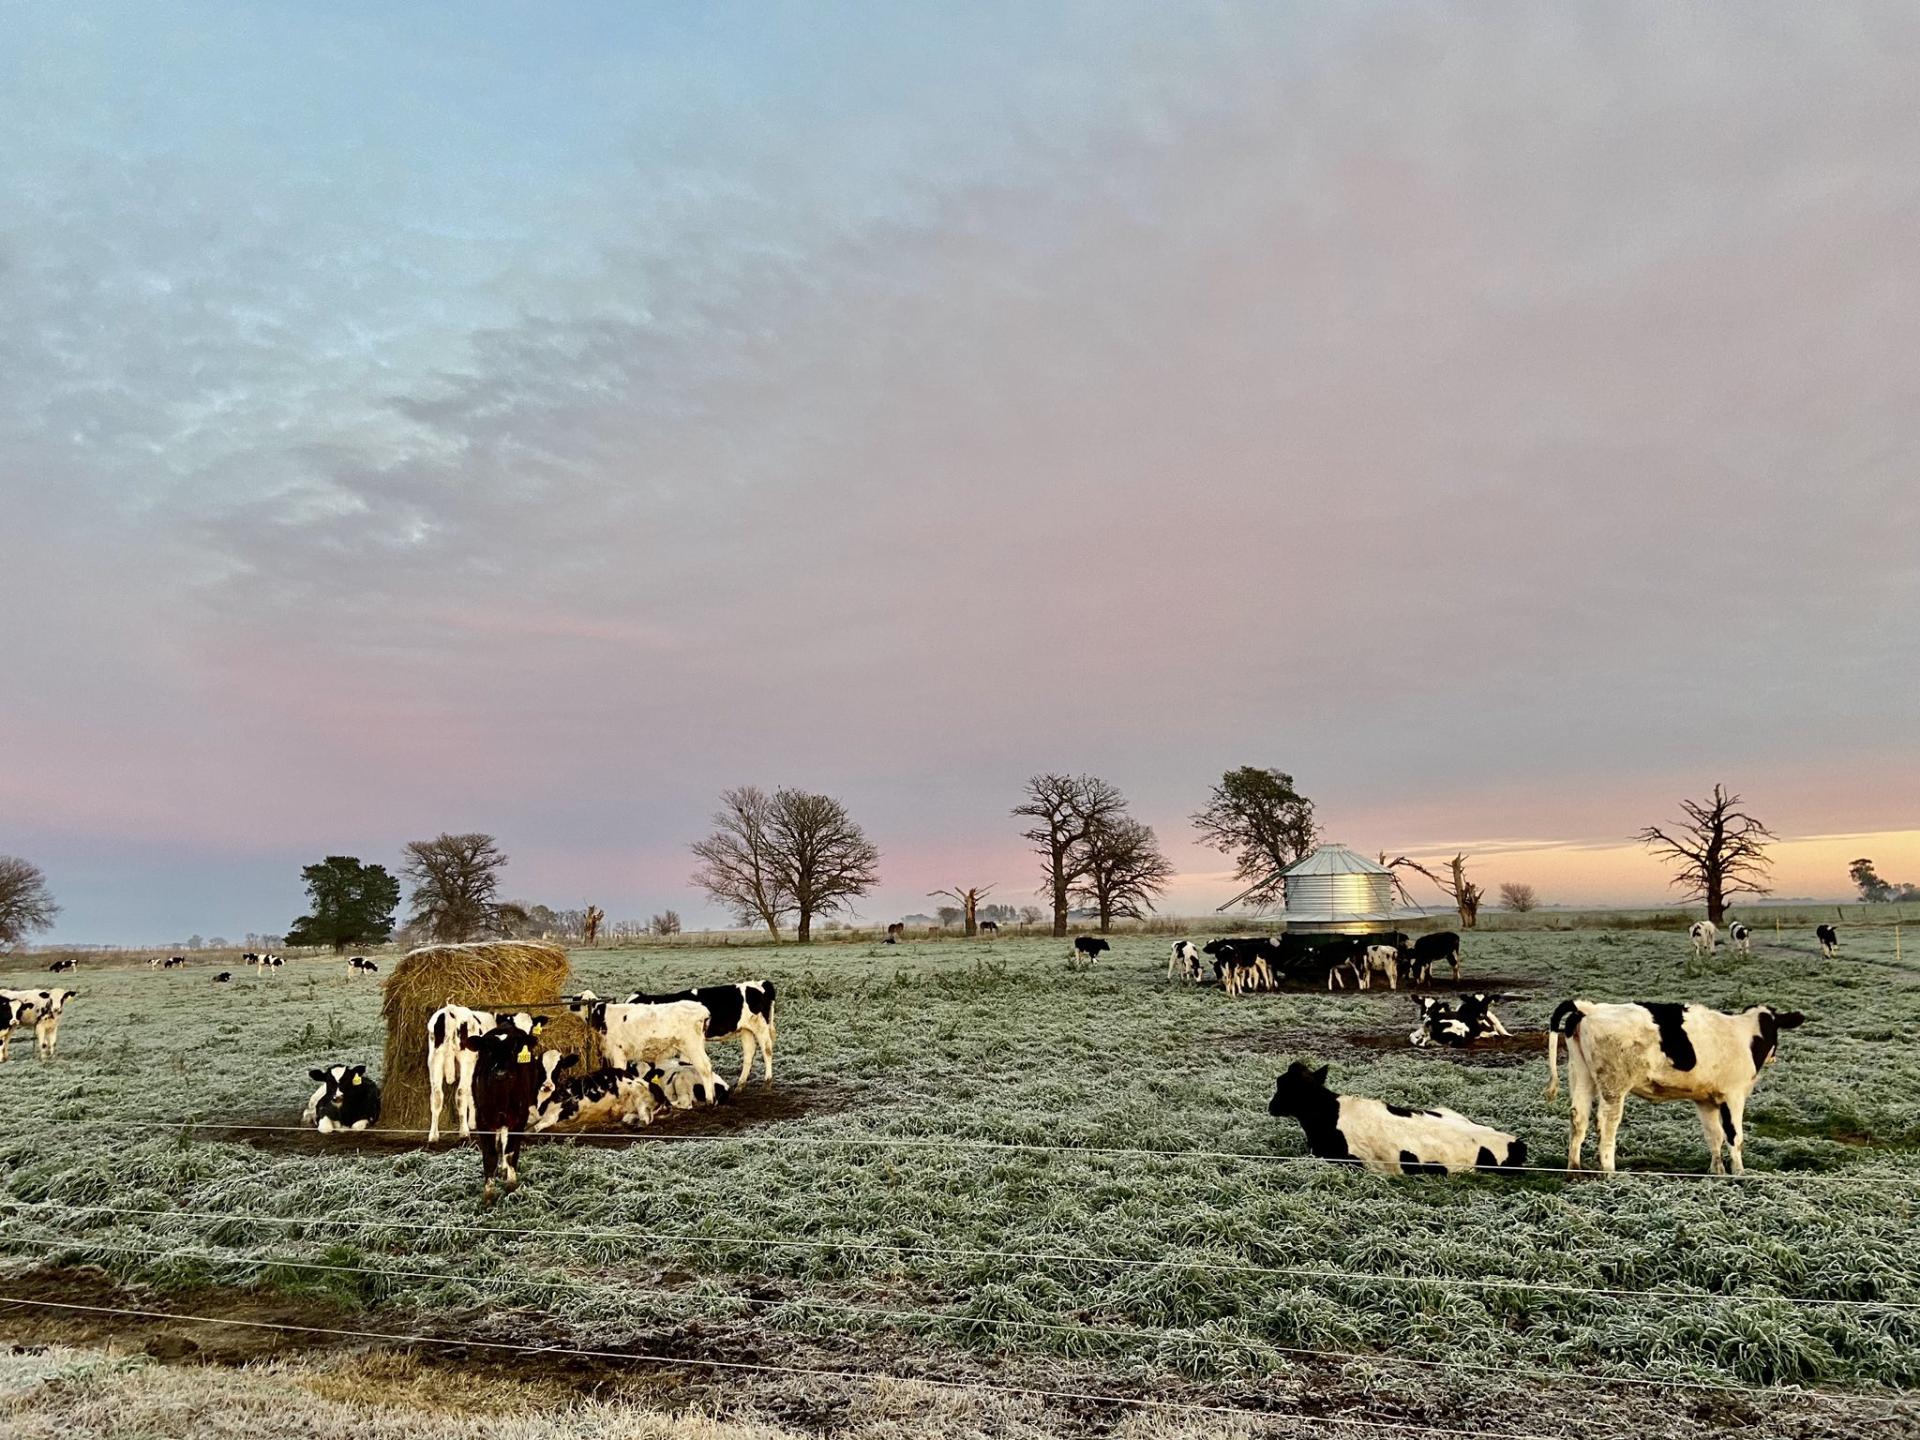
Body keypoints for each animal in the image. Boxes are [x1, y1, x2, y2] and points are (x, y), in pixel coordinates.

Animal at [460, 1029, 552, 1205]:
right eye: (487, 1050)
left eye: (514, 1050)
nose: (501, 1073)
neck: (501, 1095)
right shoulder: (482, 1119)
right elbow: (490, 1156)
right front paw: (488, 1194)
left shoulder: (519, 1118)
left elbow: (510, 1152)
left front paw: (511, 1184)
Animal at [606, 990, 771, 1090]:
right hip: (746, 1030)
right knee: (749, 1053)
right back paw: (741, 1083)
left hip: (760, 1027)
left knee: (767, 1050)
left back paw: (767, 1079)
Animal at [1536, 1006, 1804, 1175]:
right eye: (1774, 1028)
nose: (1774, 1056)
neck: (1746, 1036)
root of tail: (1587, 1008)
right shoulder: (1733, 1096)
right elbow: (1733, 1136)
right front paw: (1739, 1173)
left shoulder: (1705, 1100)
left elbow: (1714, 1136)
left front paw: (1716, 1171)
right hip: (1614, 1086)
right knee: (1606, 1123)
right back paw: (1609, 1171)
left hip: (1582, 1076)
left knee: (1578, 1118)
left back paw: (1575, 1170)